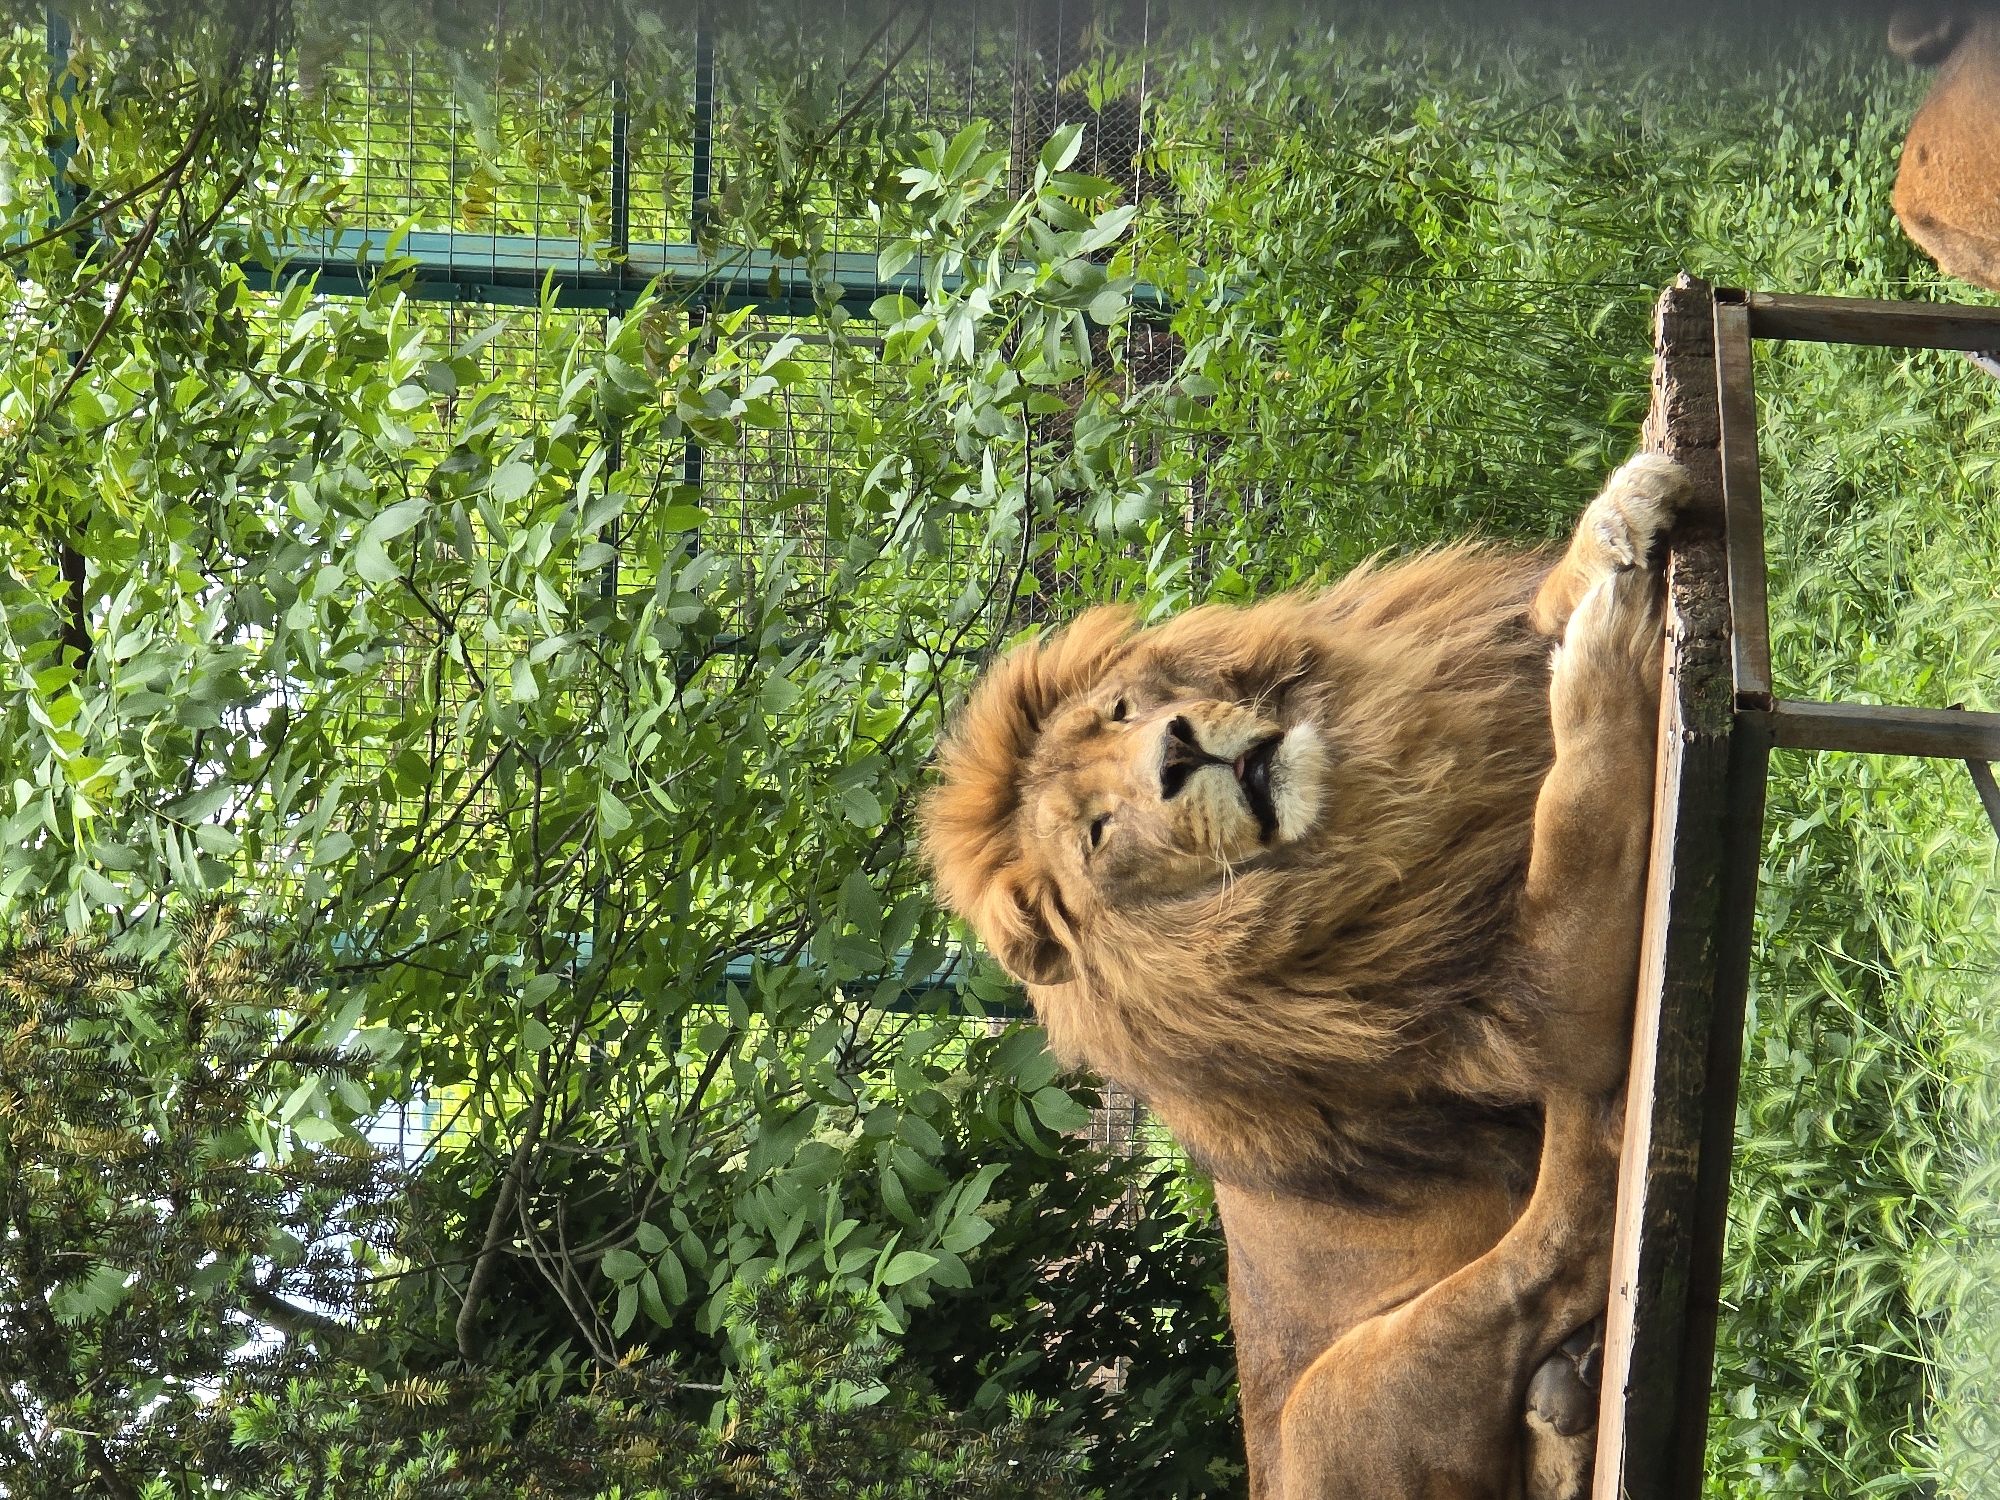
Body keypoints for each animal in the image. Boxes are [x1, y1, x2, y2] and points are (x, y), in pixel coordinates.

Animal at [920, 452, 1691, 1498]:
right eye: (1097, 835)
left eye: (1120, 711)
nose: (1177, 752)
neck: (1363, 811)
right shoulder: (1521, 1000)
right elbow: (1572, 818)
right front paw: (1601, 639)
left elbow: (1532, 618)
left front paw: (1608, 527)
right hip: (1337, 1397)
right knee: (1552, 1238)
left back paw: (1564, 1407)